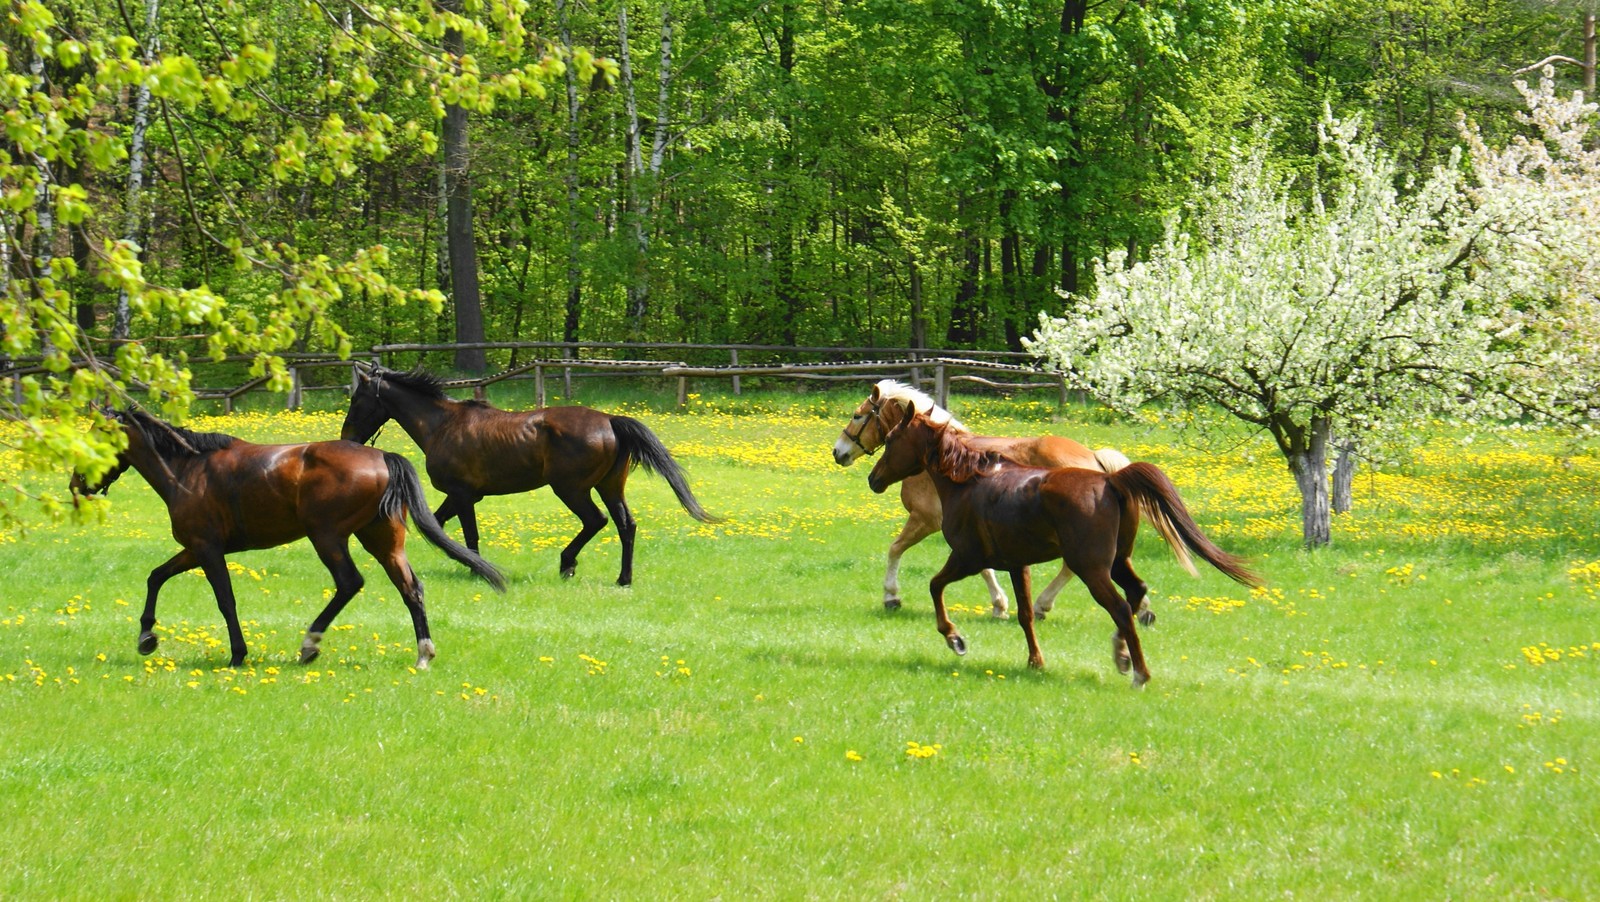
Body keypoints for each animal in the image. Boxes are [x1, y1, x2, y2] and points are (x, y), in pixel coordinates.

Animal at [68, 409, 502, 668]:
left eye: (97, 436)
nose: (76, 484)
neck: (187, 470)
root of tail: (383, 457)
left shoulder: (207, 549)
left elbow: (225, 600)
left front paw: (237, 654)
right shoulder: (193, 549)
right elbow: (156, 576)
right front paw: (146, 636)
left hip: (327, 536)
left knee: (350, 583)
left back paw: (310, 643)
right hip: (382, 540)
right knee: (411, 588)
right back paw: (423, 653)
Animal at [340, 366, 716, 585]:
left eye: (357, 399)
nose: (347, 438)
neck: (442, 425)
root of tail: (610, 420)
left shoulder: (463, 495)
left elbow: (468, 534)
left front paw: (476, 568)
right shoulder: (460, 496)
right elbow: (439, 522)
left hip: (571, 489)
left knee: (596, 521)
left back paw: (567, 564)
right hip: (609, 487)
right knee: (627, 525)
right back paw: (623, 578)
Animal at [832, 380, 1196, 620]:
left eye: (857, 415)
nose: (838, 451)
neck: (938, 459)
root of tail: (1094, 460)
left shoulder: (926, 520)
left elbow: (895, 549)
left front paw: (891, 596)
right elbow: (984, 568)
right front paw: (1000, 604)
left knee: (1071, 566)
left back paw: (1042, 605)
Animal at [864, 412, 1260, 687]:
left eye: (892, 440)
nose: (873, 479)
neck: (968, 482)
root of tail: (1111, 479)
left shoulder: (966, 558)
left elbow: (935, 586)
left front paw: (954, 638)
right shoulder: (1017, 564)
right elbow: (1024, 614)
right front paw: (1035, 661)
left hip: (1092, 569)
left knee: (1120, 607)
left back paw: (1139, 673)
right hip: (1118, 562)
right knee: (1136, 592)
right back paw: (1120, 654)